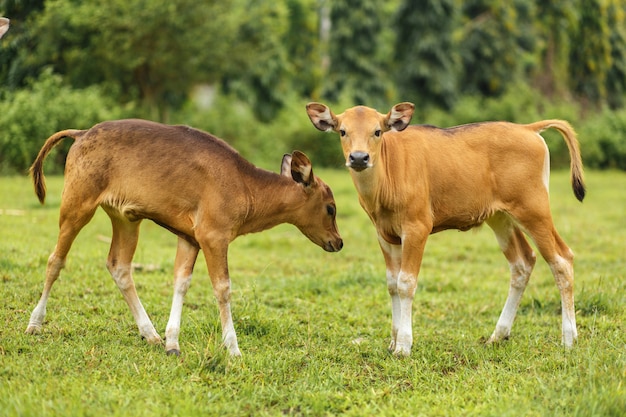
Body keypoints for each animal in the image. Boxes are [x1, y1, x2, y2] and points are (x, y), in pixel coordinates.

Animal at [26, 118, 344, 356]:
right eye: (330, 207)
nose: (338, 242)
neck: (245, 186)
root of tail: (81, 134)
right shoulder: (214, 237)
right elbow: (222, 288)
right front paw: (233, 348)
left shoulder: (189, 238)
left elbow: (181, 282)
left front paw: (172, 342)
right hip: (77, 204)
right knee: (56, 259)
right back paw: (35, 323)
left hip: (126, 218)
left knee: (119, 266)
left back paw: (149, 333)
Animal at [304, 102, 584, 356]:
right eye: (342, 131)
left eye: (377, 131)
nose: (359, 158)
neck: (388, 178)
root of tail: (528, 129)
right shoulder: (385, 235)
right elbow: (392, 284)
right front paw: (393, 341)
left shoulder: (417, 228)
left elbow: (406, 283)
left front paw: (404, 345)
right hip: (500, 217)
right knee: (522, 263)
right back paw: (498, 334)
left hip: (534, 210)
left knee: (562, 260)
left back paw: (569, 339)